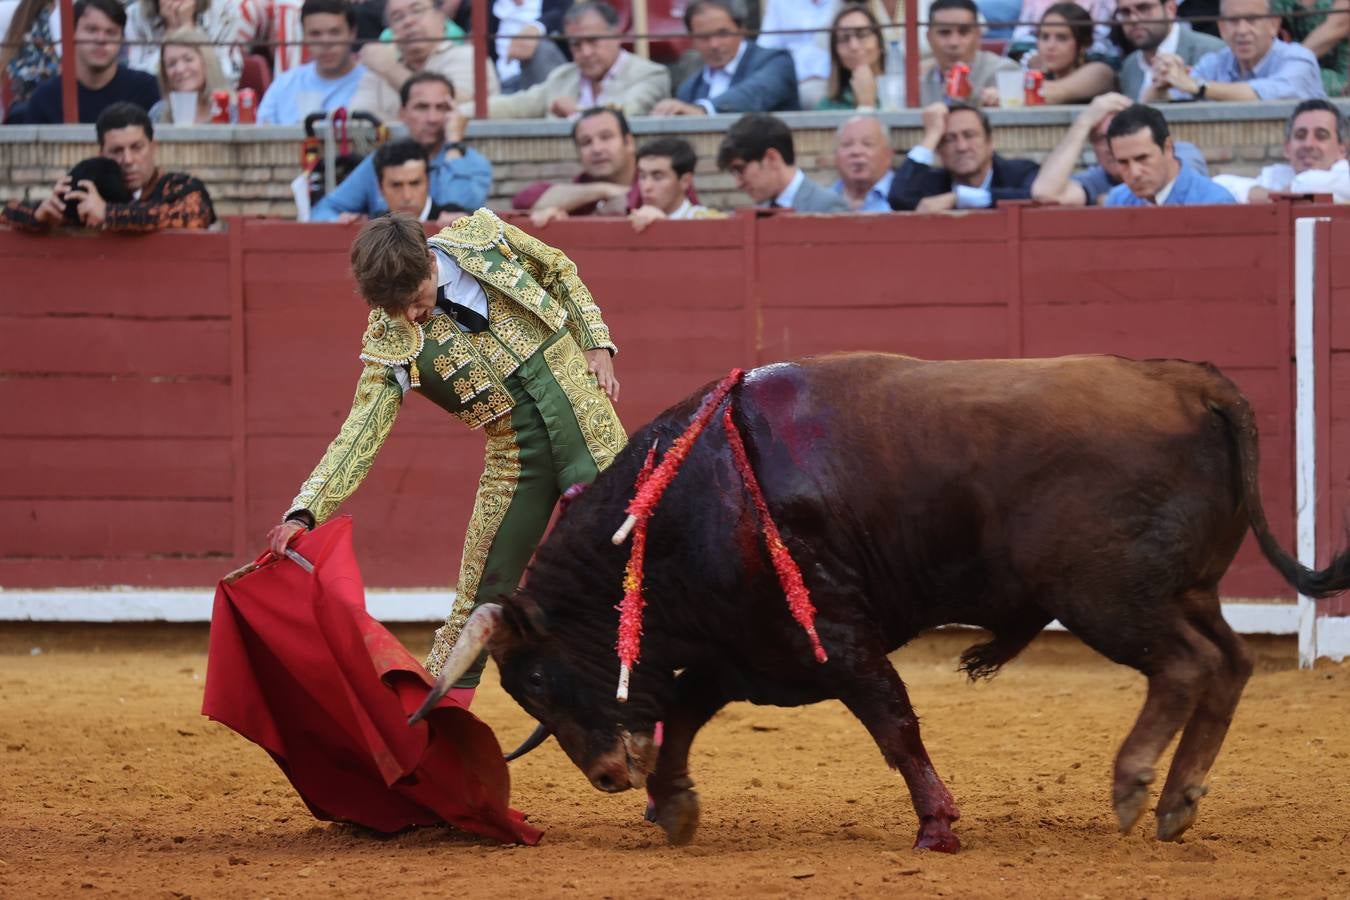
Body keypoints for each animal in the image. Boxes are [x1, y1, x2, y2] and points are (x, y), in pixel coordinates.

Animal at [405, 350, 1350, 852]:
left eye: (537, 682)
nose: (606, 776)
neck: (683, 503)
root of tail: (1190, 380)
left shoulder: (832, 635)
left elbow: (892, 723)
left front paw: (938, 827)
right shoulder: (753, 649)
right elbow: (688, 710)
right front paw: (671, 805)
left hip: (1111, 599)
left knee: (1185, 667)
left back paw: (1133, 784)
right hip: (1184, 590)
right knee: (1229, 663)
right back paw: (1178, 802)